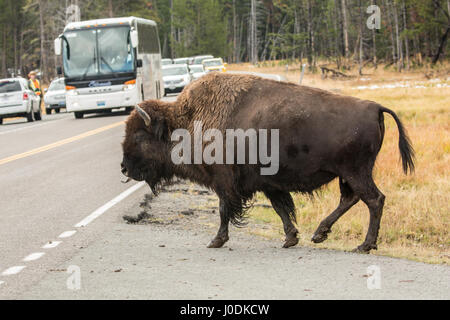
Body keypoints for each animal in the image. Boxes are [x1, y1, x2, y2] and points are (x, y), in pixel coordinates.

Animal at [120, 72, 414, 252]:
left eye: (139, 135)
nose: (124, 167)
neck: (187, 120)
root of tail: (375, 107)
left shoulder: (225, 182)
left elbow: (225, 210)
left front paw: (216, 240)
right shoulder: (268, 183)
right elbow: (281, 209)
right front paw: (291, 238)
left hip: (356, 172)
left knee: (374, 199)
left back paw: (364, 245)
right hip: (348, 174)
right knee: (351, 198)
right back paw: (320, 234)